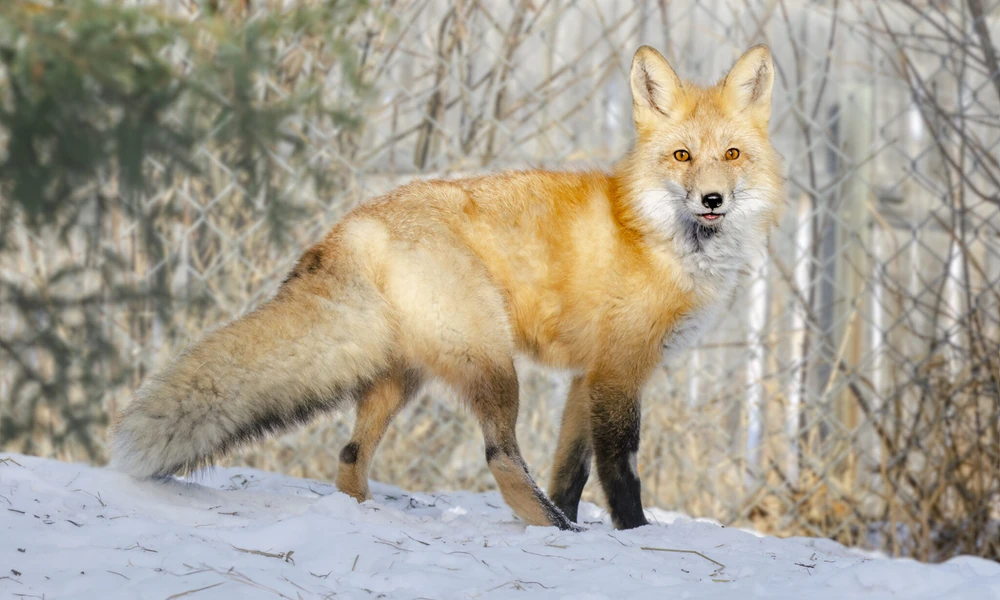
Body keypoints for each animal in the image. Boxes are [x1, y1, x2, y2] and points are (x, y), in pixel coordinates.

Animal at [110, 44, 784, 531]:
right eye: (681, 156)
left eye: (731, 154)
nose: (712, 200)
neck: (658, 236)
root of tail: (358, 222)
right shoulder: (618, 373)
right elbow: (621, 471)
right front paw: (634, 536)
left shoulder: (584, 379)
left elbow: (570, 470)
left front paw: (578, 523)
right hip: (492, 364)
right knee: (500, 457)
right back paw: (549, 525)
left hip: (401, 376)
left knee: (349, 457)